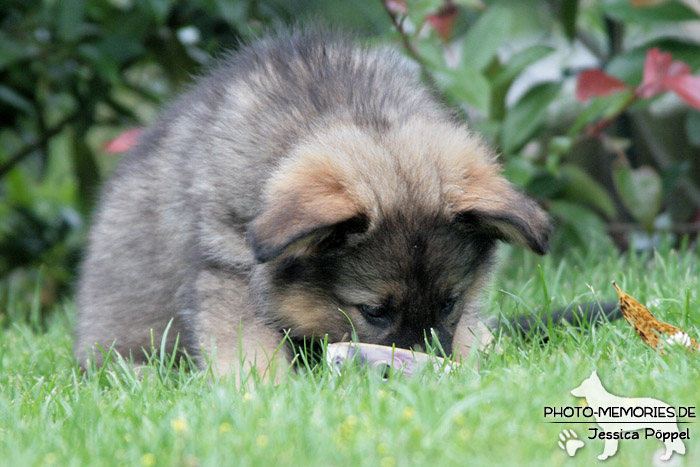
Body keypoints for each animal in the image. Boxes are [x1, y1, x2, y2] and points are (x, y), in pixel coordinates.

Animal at [72, 28, 552, 380]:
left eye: (450, 301)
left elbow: (472, 334)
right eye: (373, 311)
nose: (414, 373)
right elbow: (250, 349)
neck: (348, 112)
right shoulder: (226, 271)